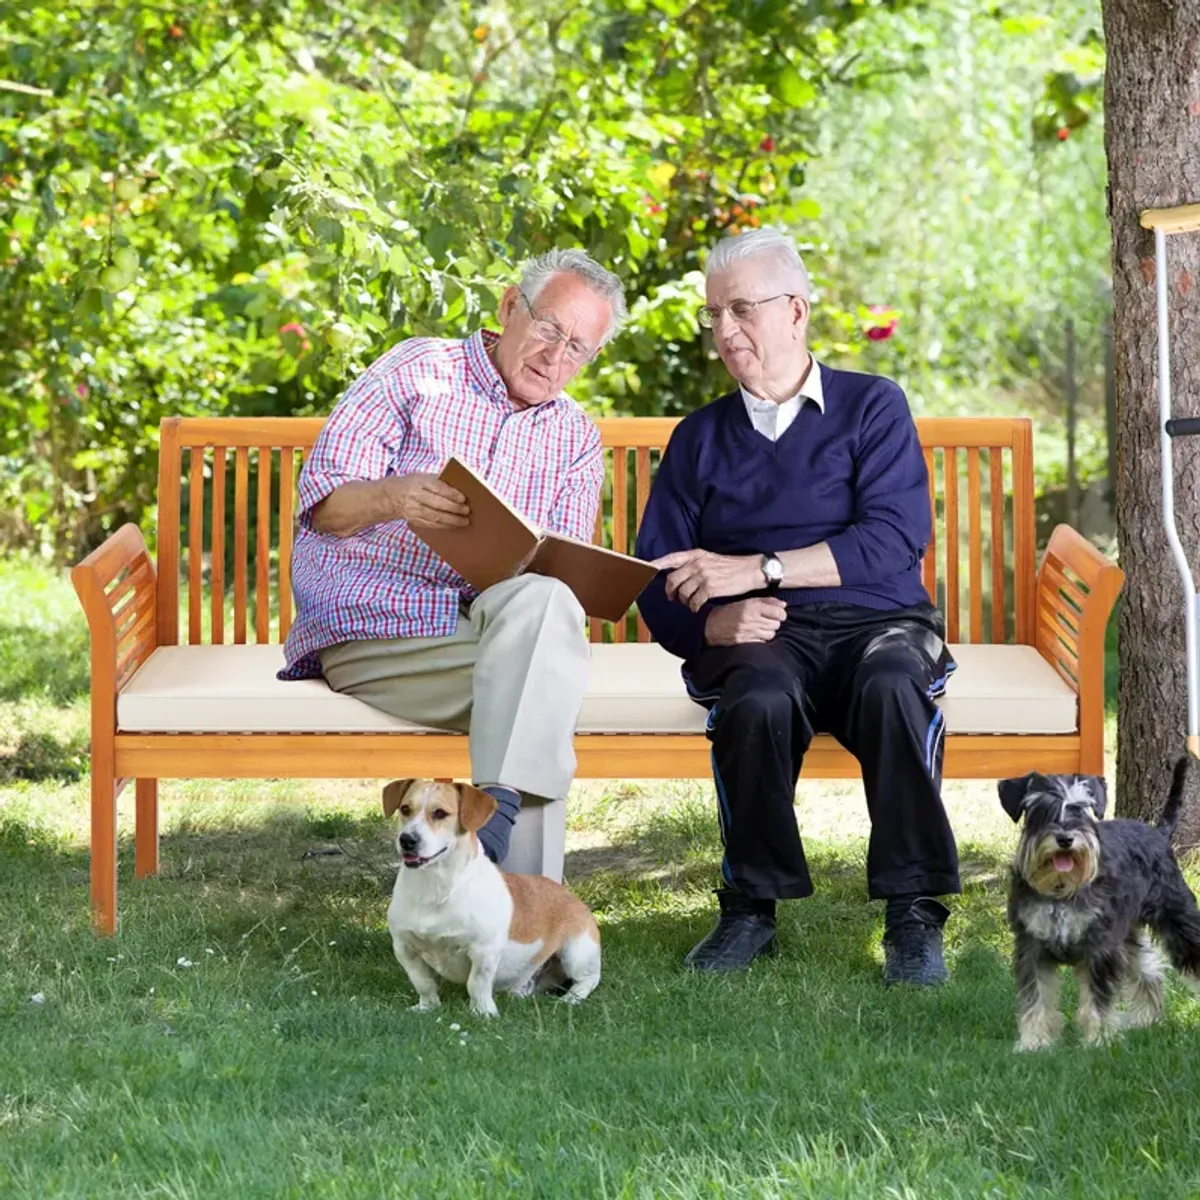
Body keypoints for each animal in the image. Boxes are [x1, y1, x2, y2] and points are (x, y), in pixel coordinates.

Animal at [384, 772, 600, 1017]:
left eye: (440, 813)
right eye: (405, 809)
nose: (407, 840)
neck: (435, 888)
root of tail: (575, 898)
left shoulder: (484, 951)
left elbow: (476, 984)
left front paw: (483, 1013)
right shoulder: (404, 948)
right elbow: (423, 983)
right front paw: (427, 1007)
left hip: (576, 954)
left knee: (588, 980)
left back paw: (570, 999)